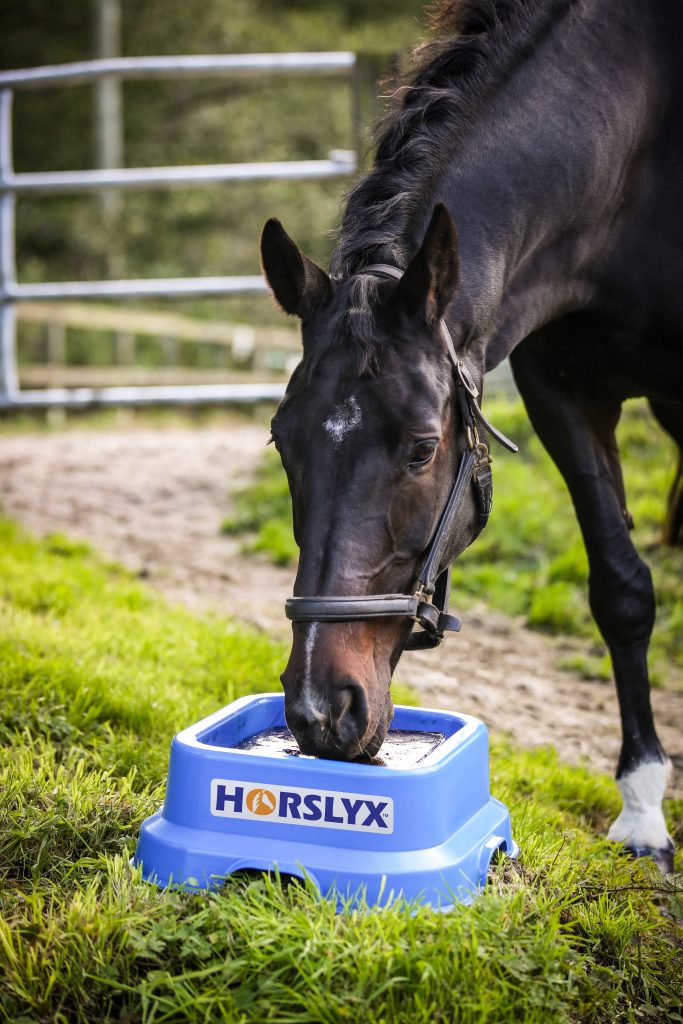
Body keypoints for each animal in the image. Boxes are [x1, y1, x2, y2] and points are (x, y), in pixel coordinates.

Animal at [259, 0, 679, 872]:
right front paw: (642, 808)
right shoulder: (562, 392)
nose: (319, 709)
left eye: (422, 449)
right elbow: (620, 591)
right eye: (283, 442)